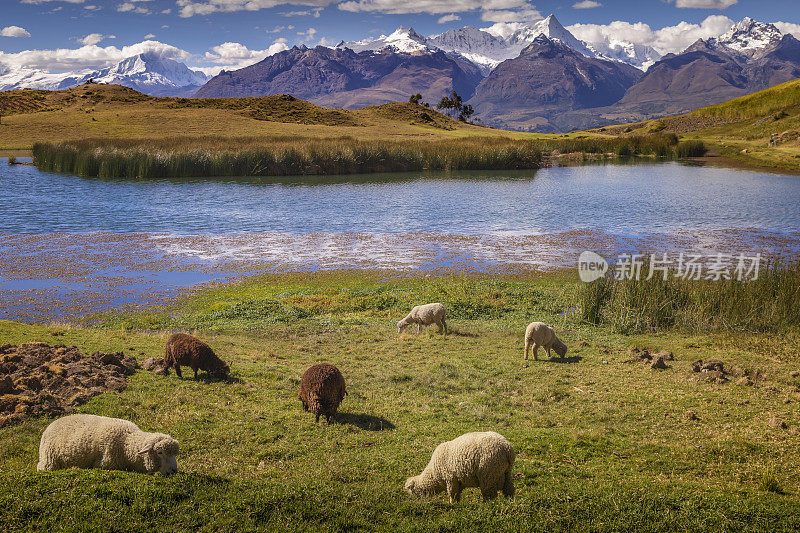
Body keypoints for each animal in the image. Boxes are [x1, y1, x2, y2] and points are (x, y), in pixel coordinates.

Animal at [37, 412, 180, 474]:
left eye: (174, 455)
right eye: (159, 452)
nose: (174, 470)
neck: (127, 441)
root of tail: (51, 424)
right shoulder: (106, 463)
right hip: (49, 460)